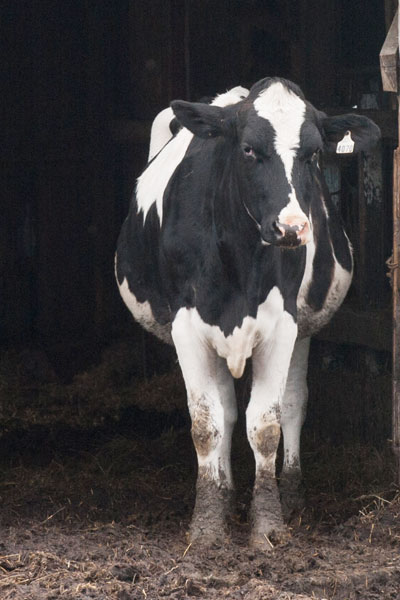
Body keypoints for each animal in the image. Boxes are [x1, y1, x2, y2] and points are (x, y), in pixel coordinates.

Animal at [114, 77, 380, 548]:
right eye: (249, 150)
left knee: (291, 403)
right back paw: (225, 491)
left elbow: (266, 425)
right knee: (224, 408)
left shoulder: (282, 325)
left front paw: (268, 522)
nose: (291, 228)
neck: (238, 255)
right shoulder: (187, 327)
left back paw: (290, 494)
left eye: (313, 154)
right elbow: (207, 422)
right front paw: (207, 522)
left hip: (303, 328)